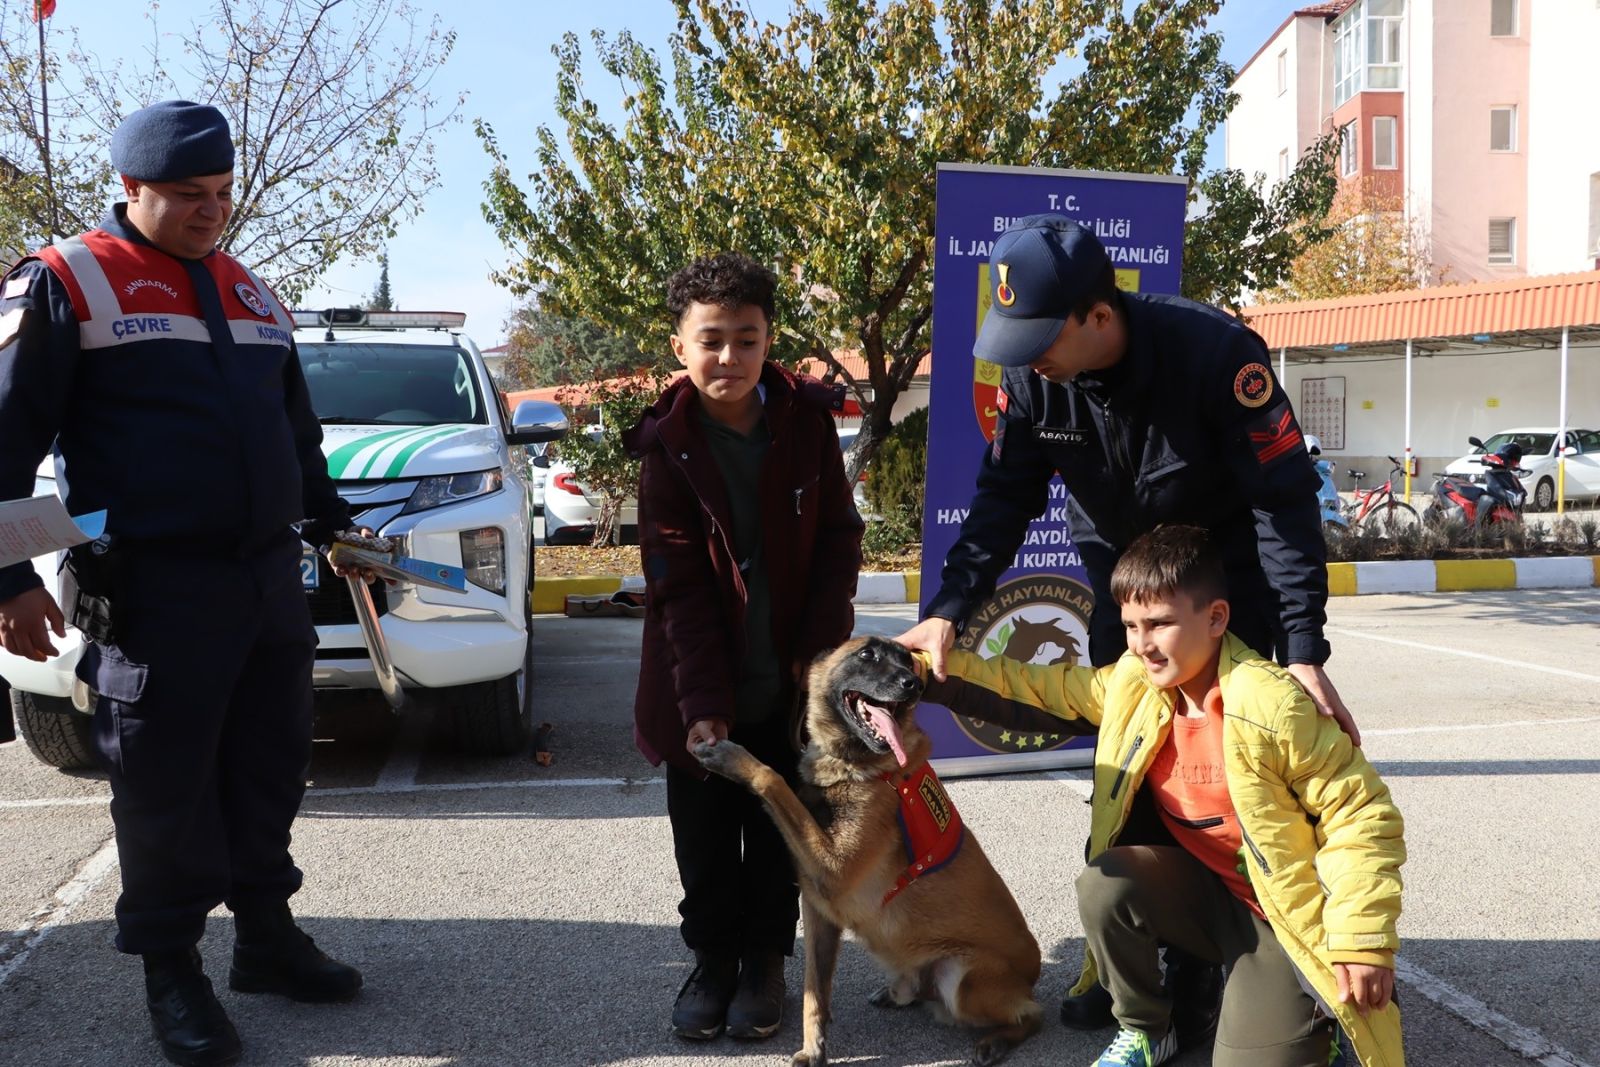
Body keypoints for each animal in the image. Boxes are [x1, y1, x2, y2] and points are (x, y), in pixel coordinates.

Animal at [694, 639, 1043, 1062]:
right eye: (867, 655)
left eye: (908, 660)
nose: (914, 684)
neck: (856, 765)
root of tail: (1032, 974)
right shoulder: (819, 912)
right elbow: (815, 990)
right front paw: (814, 1046)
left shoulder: (833, 869)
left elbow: (773, 779)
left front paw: (733, 759)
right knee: (917, 989)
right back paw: (899, 993)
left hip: (961, 976)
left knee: (1033, 1014)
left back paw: (996, 1041)